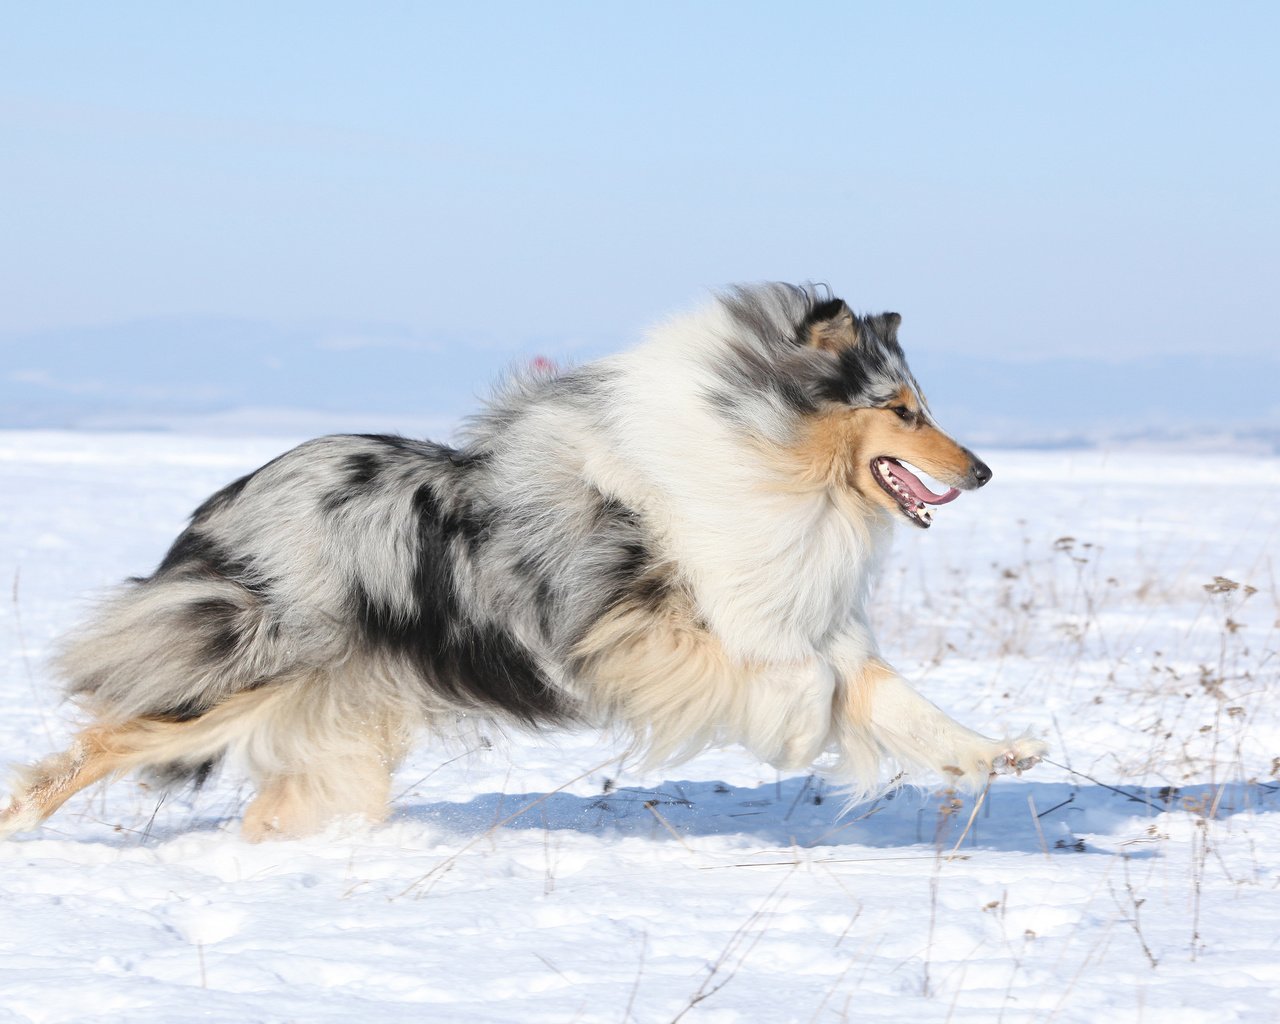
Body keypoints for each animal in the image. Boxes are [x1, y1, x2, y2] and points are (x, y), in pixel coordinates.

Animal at [0, 281, 1039, 839]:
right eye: (902, 409)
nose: (986, 470)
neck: (768, 457)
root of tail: (225, 500)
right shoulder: (647, 629)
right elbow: (800, 684)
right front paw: (793, 731)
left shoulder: (811, 621)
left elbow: (893, 698)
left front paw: (1004, 751)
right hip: (243, 664)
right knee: (97, 744)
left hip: (341, 726)